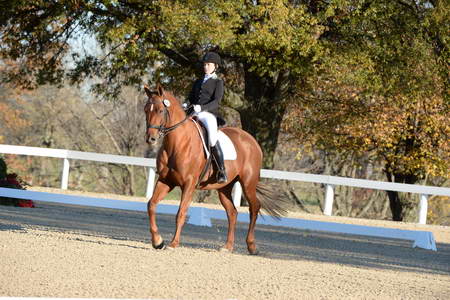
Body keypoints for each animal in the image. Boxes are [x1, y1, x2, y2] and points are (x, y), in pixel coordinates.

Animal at [145, 83, 292, 254]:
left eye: (160, 110)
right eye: (146, 109)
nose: (150, 138)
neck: (177, 143)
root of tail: (251, 140)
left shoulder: (189, 184)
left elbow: (181, 212)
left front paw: (173, 243)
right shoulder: (166, 180)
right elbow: (151, 205)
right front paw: (158, 241)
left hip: (248, 183)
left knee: (254, 208)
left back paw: (252, 246)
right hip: (224, 187)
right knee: (232, 212)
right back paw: (228, 247)